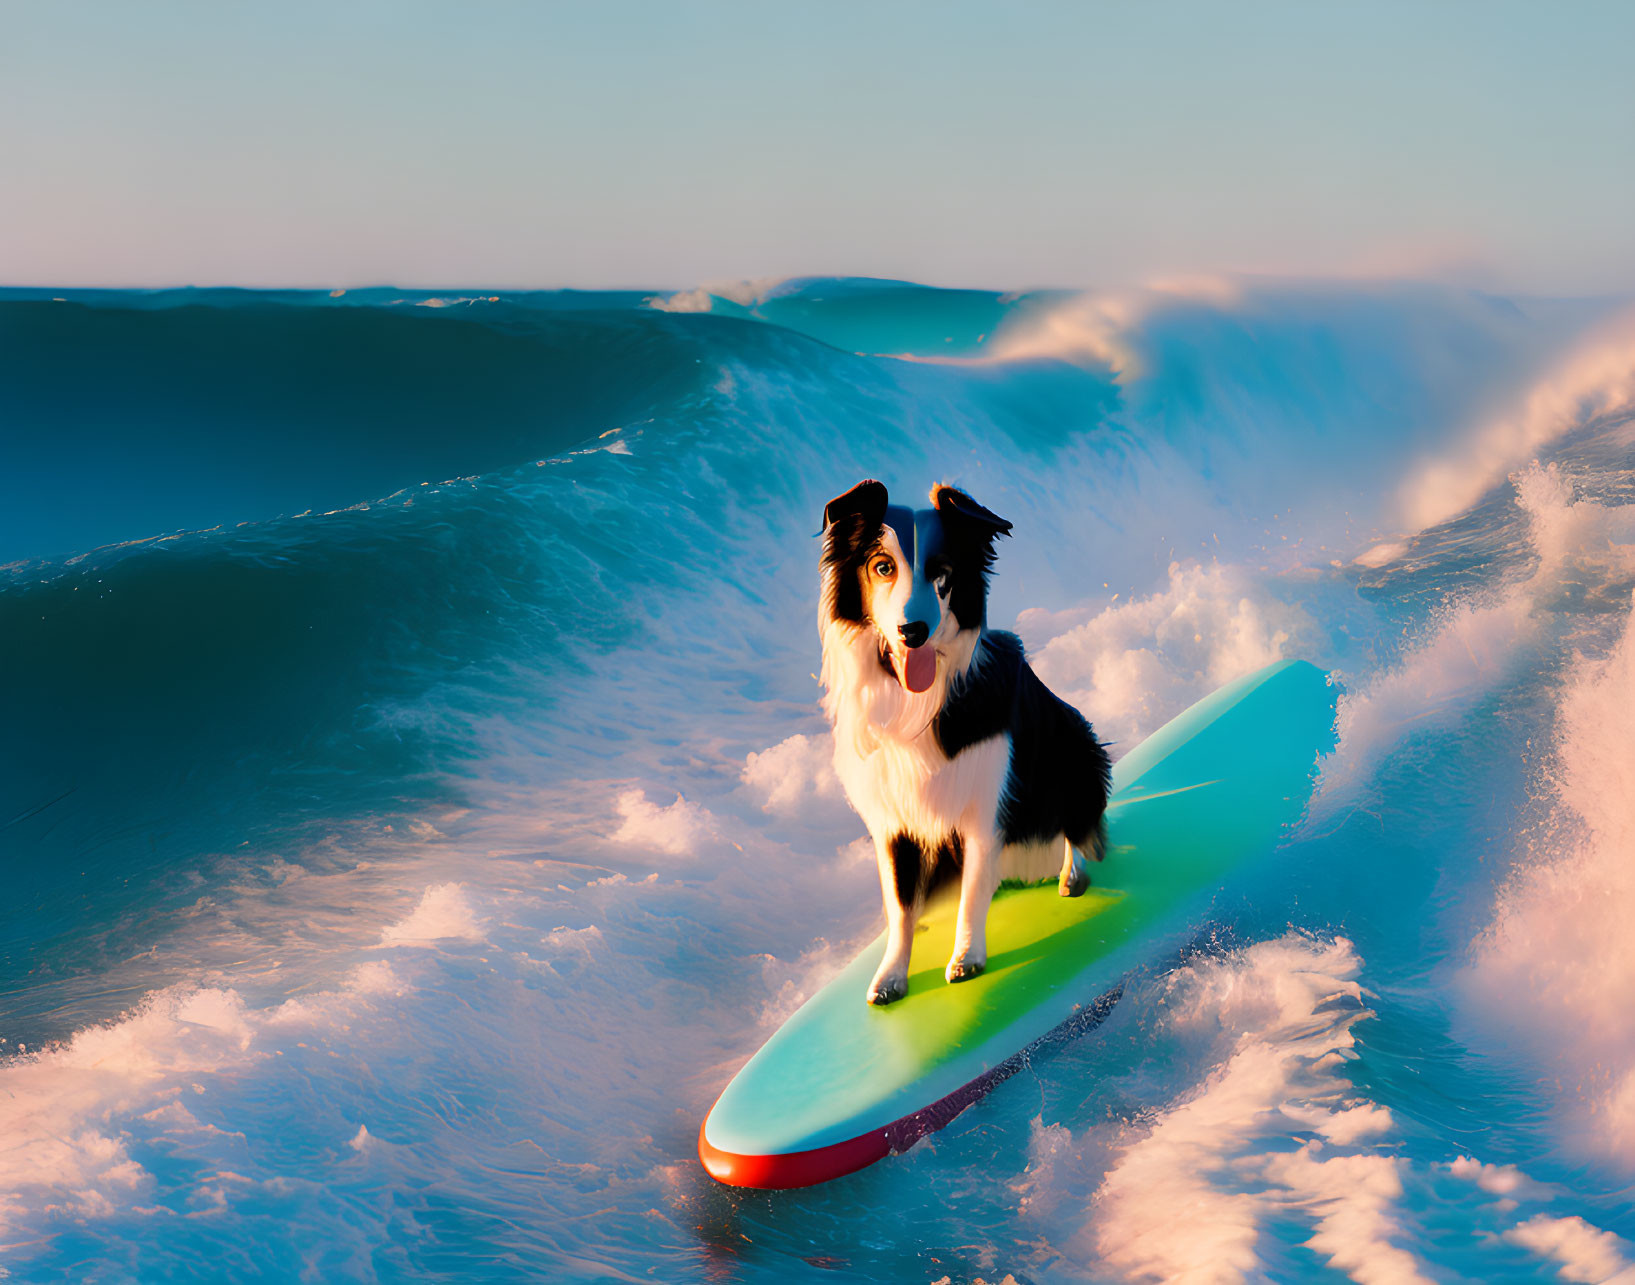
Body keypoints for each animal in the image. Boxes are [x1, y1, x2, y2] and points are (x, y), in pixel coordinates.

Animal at [817, 477, 1111, 1000]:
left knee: (1078, 829)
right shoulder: (892, 821)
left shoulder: (983, 803)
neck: (917, 699)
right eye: (882, 567)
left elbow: (973, 886)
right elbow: (899, 903)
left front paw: (967, 957)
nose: (912, 631)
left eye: (943, 573)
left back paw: (1071, 873)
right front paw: (892, 974)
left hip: (1081, 749)